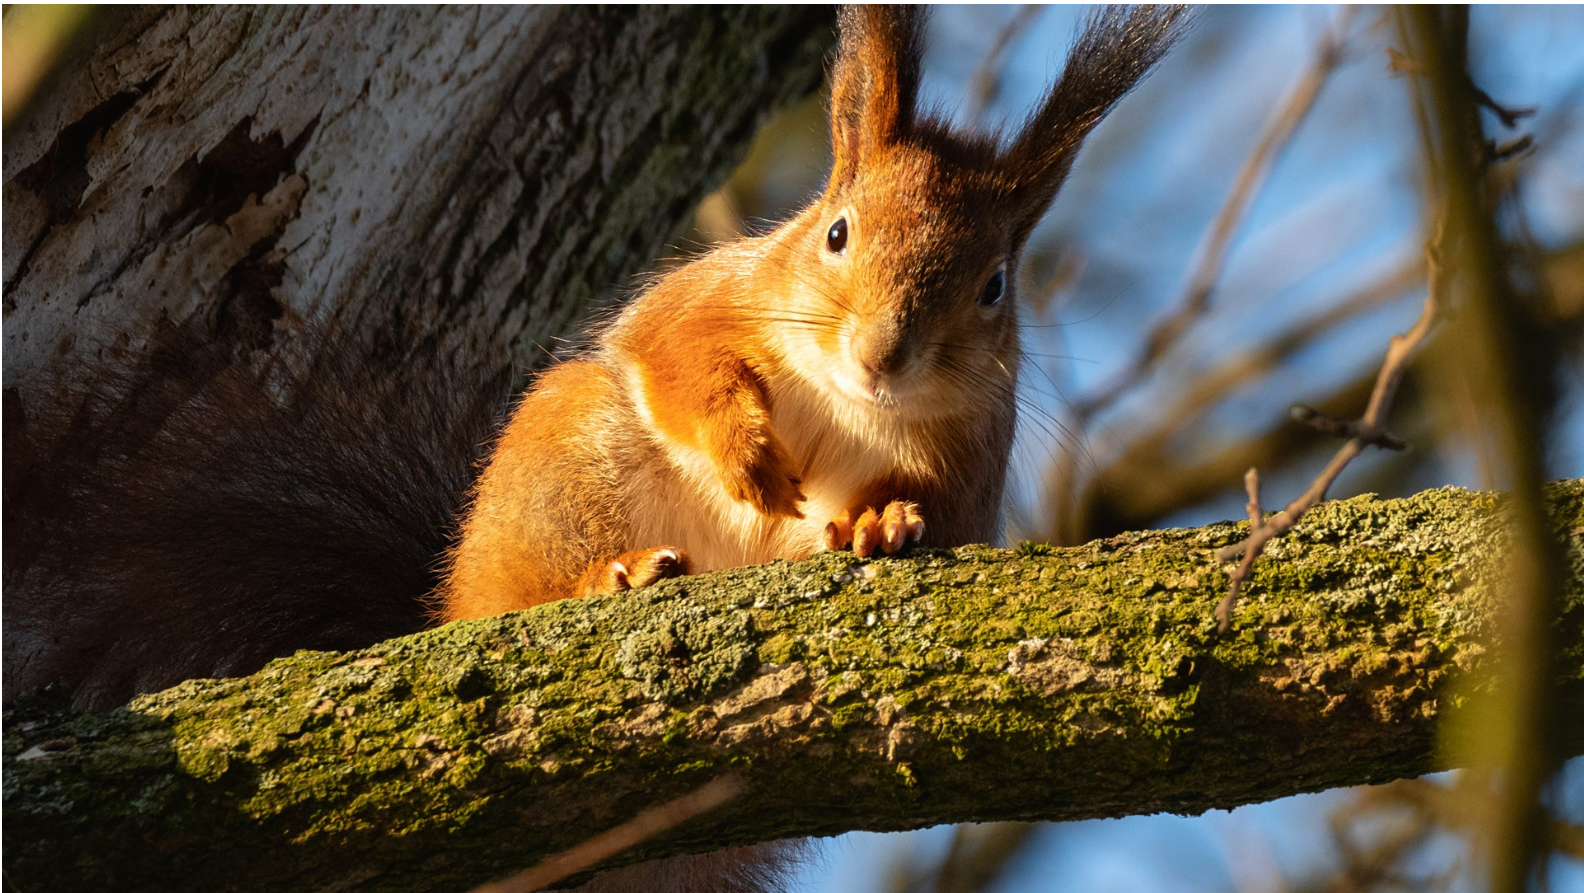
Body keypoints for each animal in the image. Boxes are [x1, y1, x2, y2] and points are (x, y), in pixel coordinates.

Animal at [440, 3, 1184, 623]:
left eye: (995, 286)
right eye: (836, 233)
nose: (882, 355)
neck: (843, 400)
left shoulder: (971, 461)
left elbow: (941, 514)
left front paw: (879, 519)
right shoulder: (703, 302)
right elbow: (681, 364)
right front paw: (746, 451)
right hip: (564, 464)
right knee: (507, 596)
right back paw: (613, 573)